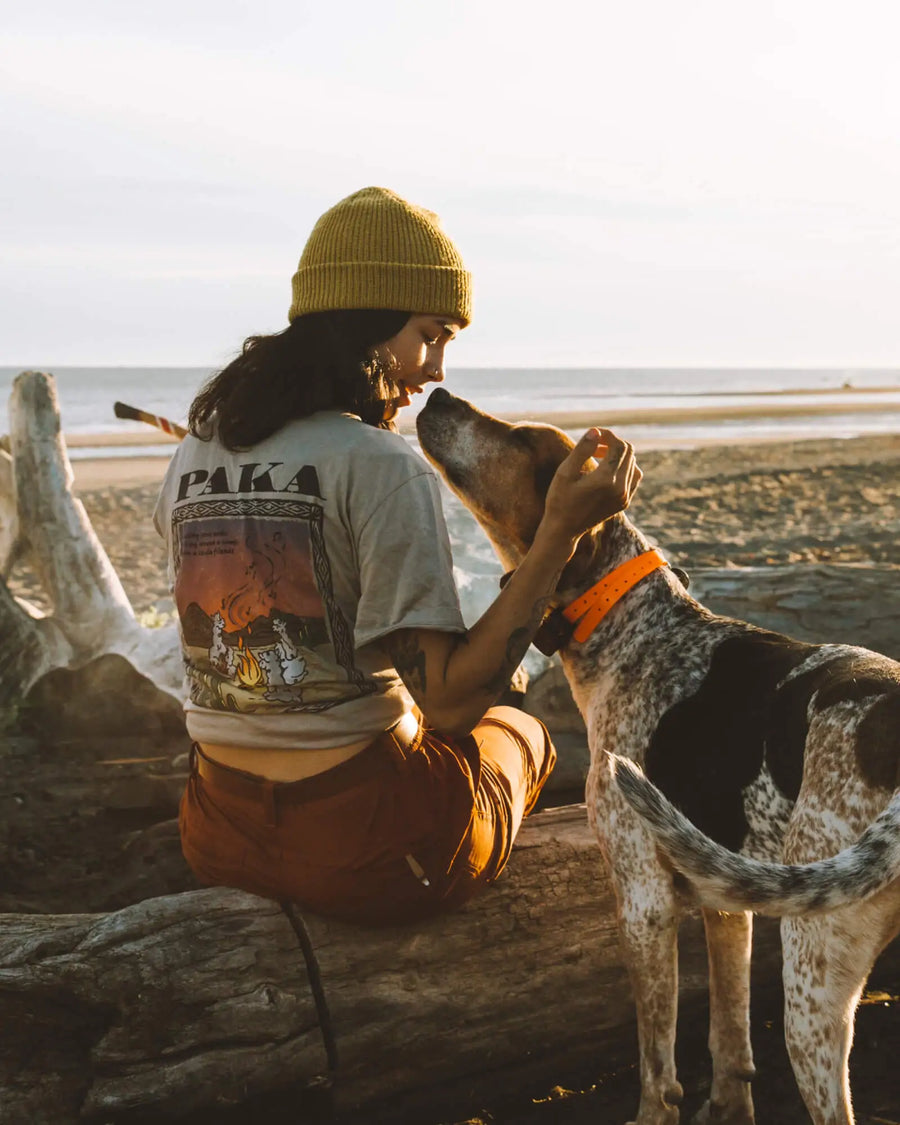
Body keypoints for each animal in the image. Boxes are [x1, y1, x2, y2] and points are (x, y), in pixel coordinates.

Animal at [418, 387, 900, 1125]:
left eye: (524, 439)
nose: (439, 392)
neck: (630, 625)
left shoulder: (643, 899)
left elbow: (656, 1063)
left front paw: (657, 1109)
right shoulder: (727, 900)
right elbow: (729, 1040)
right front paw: (727, 1107)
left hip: (813, 973)